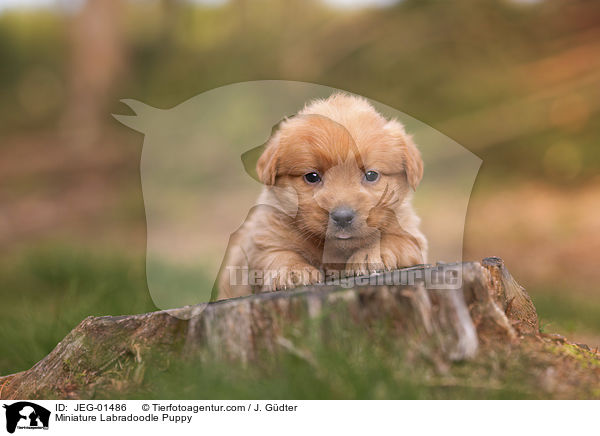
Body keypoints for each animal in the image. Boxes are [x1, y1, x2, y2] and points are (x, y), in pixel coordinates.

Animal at [216, 93, 426, 300]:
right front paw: (293, 271)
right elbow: (279, 254)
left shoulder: (412, 236)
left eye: (371, 175)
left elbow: (393, 240)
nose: (342, 217)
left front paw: (370, 256)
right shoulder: (263, 241)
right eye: (312, 177)